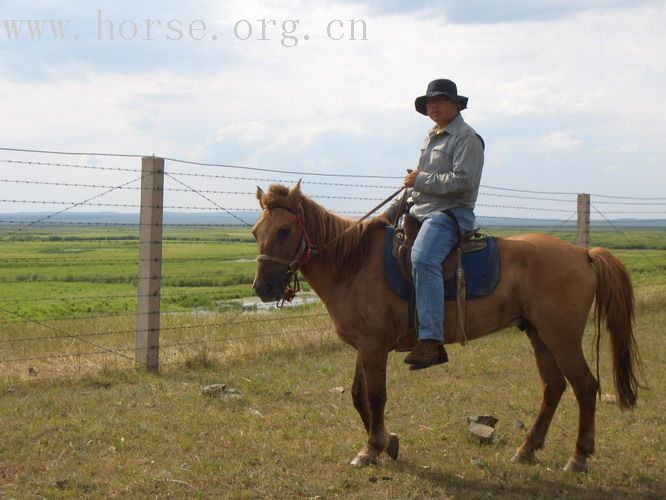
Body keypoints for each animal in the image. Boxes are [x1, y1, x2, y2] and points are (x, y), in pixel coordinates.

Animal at [252, 183, 640, 472]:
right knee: (553, 387)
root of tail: (583, 254)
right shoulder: (365, 346)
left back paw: (578, 458)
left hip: (562, 338)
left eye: (285, 230)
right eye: (256, 231)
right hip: (539, 334)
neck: (353, 263)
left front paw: (372, 449)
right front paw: (388, 443)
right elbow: (359, 396)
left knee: (585, 387)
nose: (263, 288)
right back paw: (527, 449)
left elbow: (375, 397)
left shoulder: (374, 347)